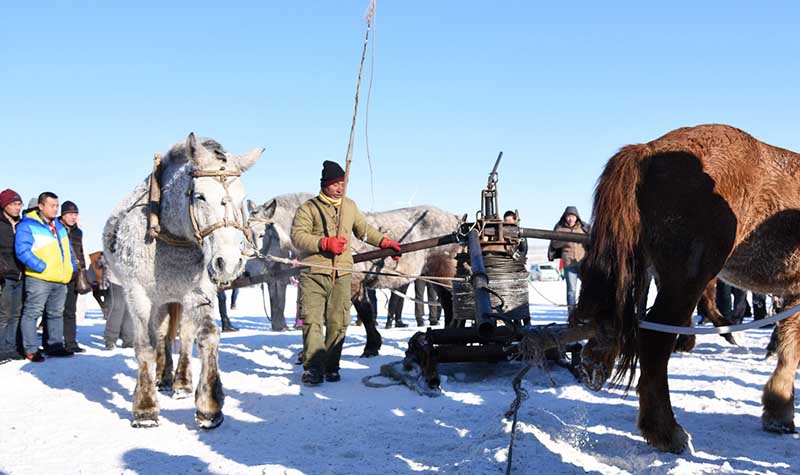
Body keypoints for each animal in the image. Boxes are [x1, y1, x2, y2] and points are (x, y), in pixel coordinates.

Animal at [101, 135, 266, 432]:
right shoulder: (137, 294)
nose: (229, 262)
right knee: (161, 335)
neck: (169, 234)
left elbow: (206, 336)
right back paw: (161, 376)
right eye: (199, 196)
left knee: (181, 335)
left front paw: (209, 407)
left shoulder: (199, 291)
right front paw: (145, 408)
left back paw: (180, 381)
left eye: (241, 198)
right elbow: (145, 343)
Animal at [576, 124, 800, 456]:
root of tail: (646, 150)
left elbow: (788, 345)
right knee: (655, 341)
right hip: (687, 278)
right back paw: (666, 431)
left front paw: (776, 410)